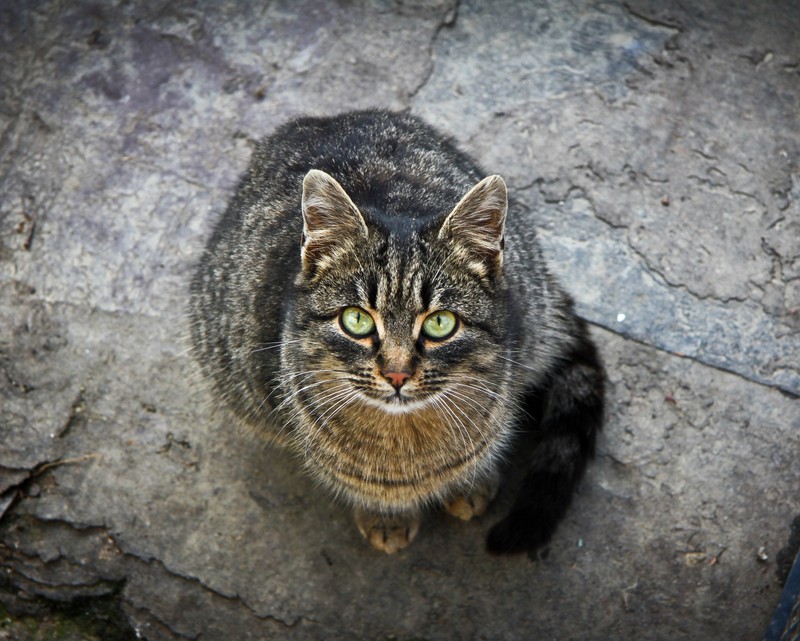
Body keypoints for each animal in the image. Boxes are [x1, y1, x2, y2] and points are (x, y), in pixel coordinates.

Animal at [188, 110, 604, 556]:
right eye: (356, 320)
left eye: (440, 323)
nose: (397, 374)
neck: (405, 443)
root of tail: (322, 118)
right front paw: (386, 517)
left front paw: (473, 484)